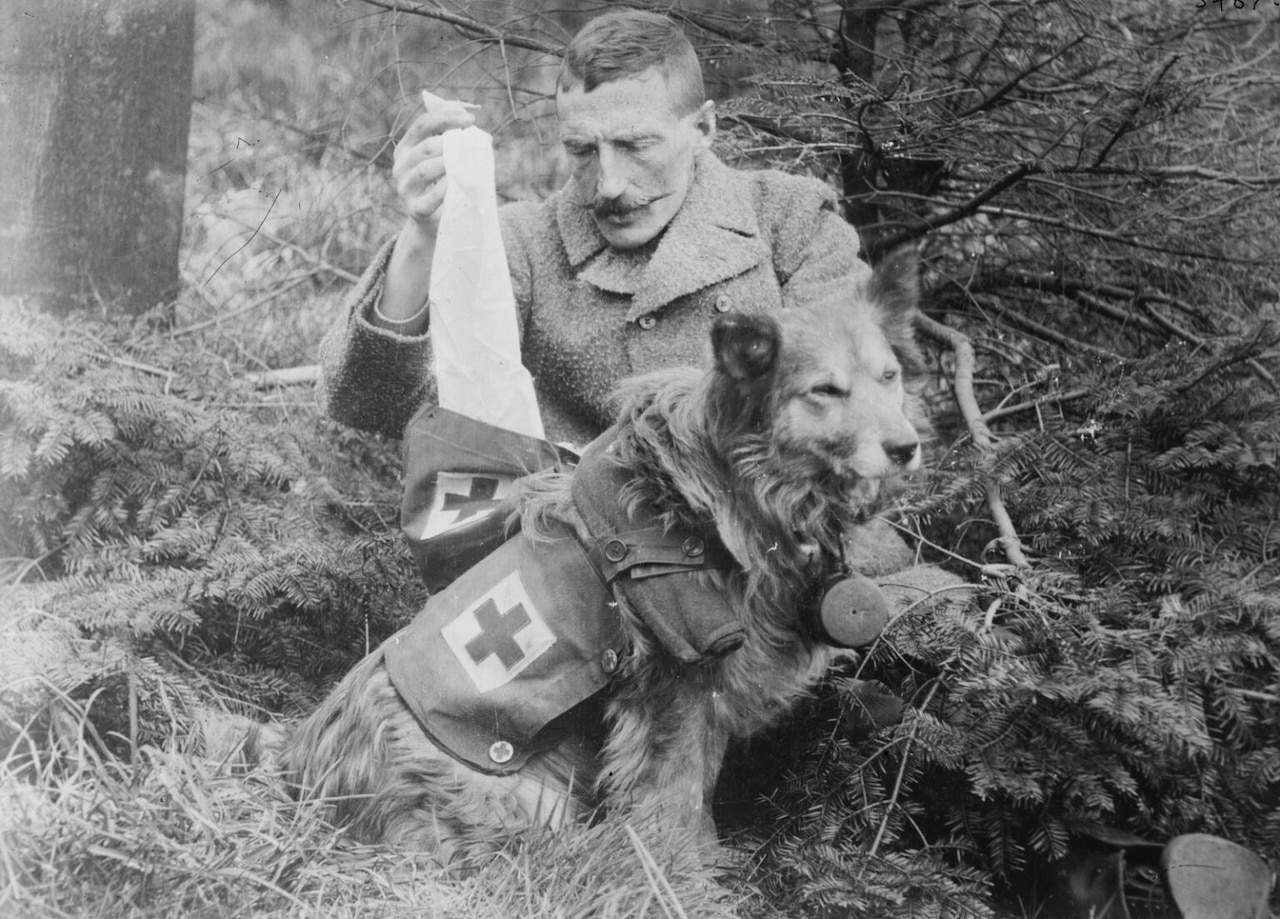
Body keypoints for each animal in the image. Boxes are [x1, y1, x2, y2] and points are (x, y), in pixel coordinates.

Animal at [275, 247, 926, 865]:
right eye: (826, 391)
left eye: (890, 377)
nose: (906, 447)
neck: (722, 491)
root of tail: (302, 775)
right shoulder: (678, 694)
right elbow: (676, 800)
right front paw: (683, 878)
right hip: (517, 796)